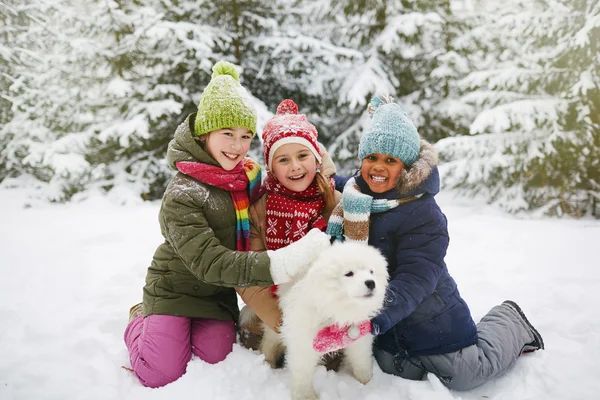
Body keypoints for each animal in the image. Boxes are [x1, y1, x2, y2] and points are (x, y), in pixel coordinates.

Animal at [243, 241, 390, 400]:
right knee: (268, 343)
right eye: (349, 273)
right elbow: (302, 371)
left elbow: (361, 358)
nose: (371, 283)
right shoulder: (303, 339)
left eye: (371, 271)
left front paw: (365, 381)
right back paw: (269, 362)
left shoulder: (358, 334)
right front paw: (305, 395)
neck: (336, 312)